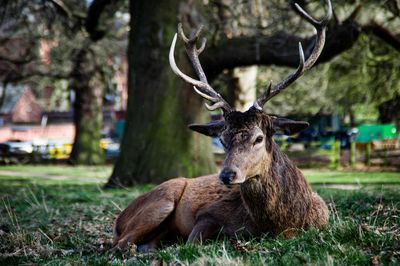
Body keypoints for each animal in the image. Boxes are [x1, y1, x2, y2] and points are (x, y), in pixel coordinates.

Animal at [112, 0, 332, 252]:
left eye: (259, 138)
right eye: (222, 139)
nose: (227, 174)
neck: (282, 224)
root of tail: (119, 220)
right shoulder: (208, 214)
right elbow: (192, 243)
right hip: (162, 199)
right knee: (119, 243)